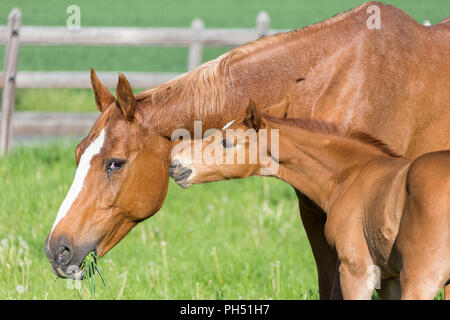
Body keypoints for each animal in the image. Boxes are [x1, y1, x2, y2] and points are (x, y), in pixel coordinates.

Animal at [170, 100, 450, 300]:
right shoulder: (389, 279)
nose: (175, 164)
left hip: (420, 279)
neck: (352, 175)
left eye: (227, 142)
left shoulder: (357, 271)